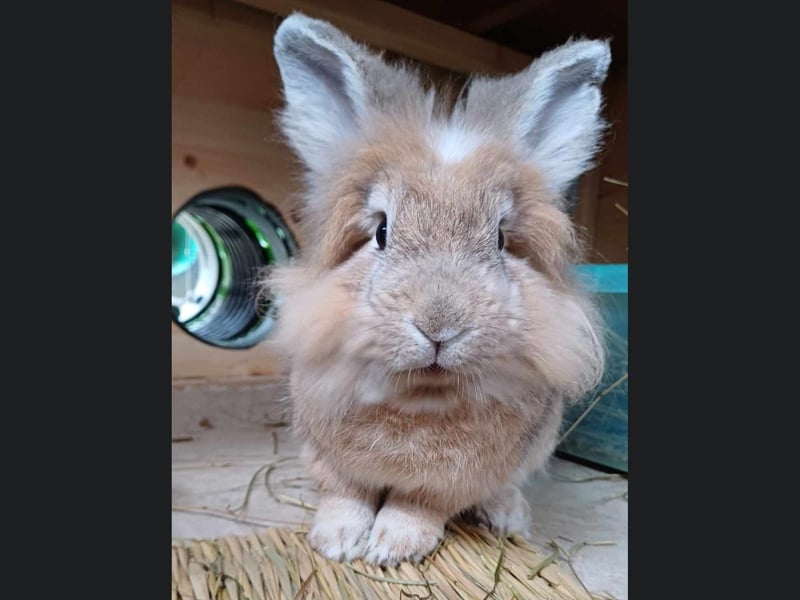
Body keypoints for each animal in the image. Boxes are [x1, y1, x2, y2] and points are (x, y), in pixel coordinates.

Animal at [265, 12, 609, 566]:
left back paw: (508, 517)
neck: (420, 394)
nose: (439, 326)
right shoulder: (325, 455)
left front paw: (390, 548)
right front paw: (336, 542)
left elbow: (418, 507)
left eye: (500, 238)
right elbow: (344, 496)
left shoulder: (451, 481)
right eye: (382, 231)